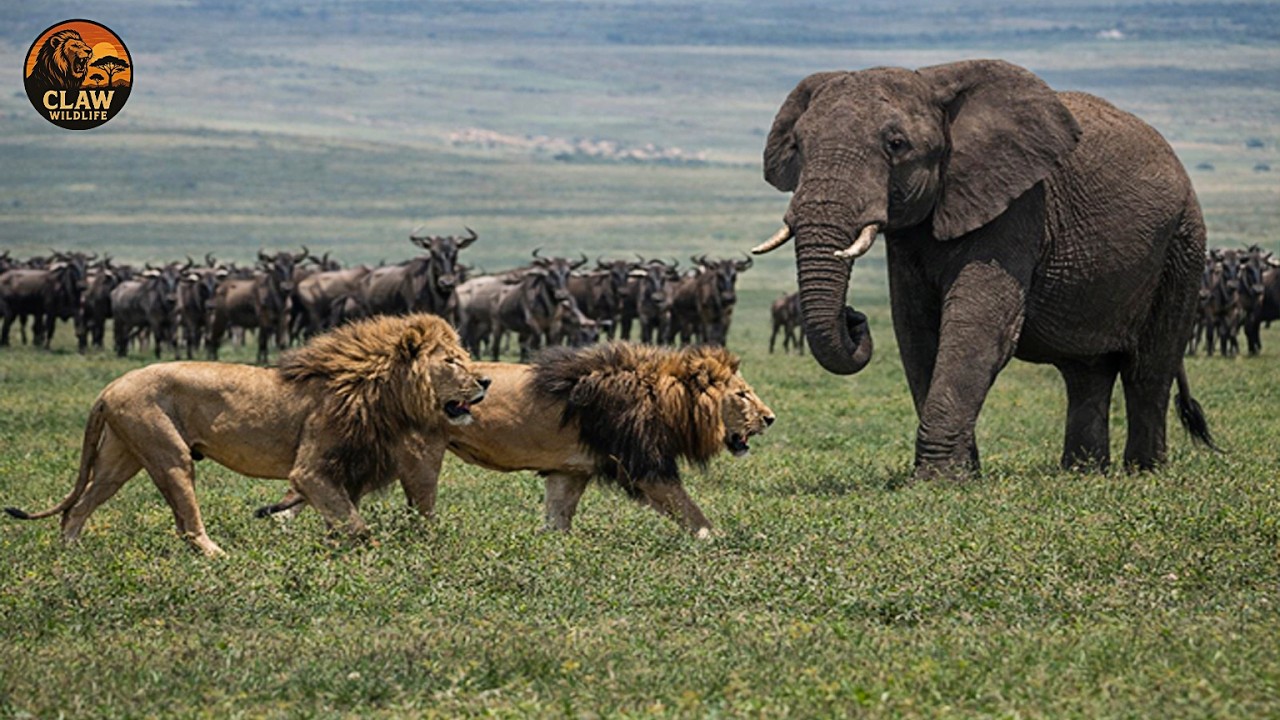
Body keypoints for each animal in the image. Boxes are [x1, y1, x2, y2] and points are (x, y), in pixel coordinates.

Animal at [4, 313, 490, 557]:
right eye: (452, 361)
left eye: (464, 357)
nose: (485, 380)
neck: (377, 389)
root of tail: (108, 388)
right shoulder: (311, 471)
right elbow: (356, 525)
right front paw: (377, 557)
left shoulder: (341, 473)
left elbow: (341, 520)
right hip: (167, 452)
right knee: (185, 523)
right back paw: (218, 556)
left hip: (117, 461)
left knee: (77, 507)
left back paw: (69, 556)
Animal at [261, 343, 775, 537]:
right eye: (742, 394)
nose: (770, 418)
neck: (664, 396)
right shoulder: (644, 466)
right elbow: (693, 513)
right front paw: (724, 540)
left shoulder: (569, 471)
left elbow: (557, 518)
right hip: (418, 456)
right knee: (415, 511)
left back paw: (281, 521)